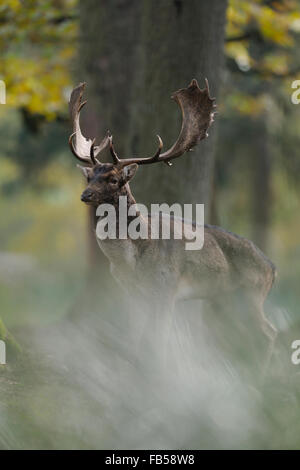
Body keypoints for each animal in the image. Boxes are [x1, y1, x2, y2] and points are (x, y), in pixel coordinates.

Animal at [68, 79, 276, 370]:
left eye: (113, 179)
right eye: (90, 177)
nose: (85, 195)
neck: (131, 260)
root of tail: (272, 268)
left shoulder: (166, 287)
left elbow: (159, 339)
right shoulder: (130, 291)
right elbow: (133, 335)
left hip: (252, 294)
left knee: (269, 332)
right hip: (225, 298)